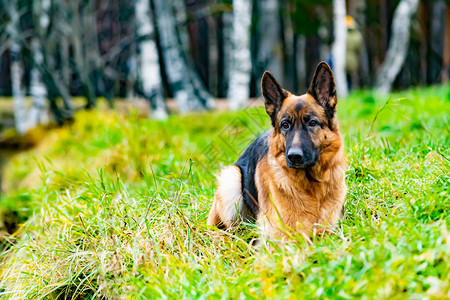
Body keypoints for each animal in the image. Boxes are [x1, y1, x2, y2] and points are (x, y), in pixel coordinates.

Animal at [206, 61, 346, 239]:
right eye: (285, 125)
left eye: (312, 123)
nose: (294, 156)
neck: (312, 187)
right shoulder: (280, 232)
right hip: (231, 178)